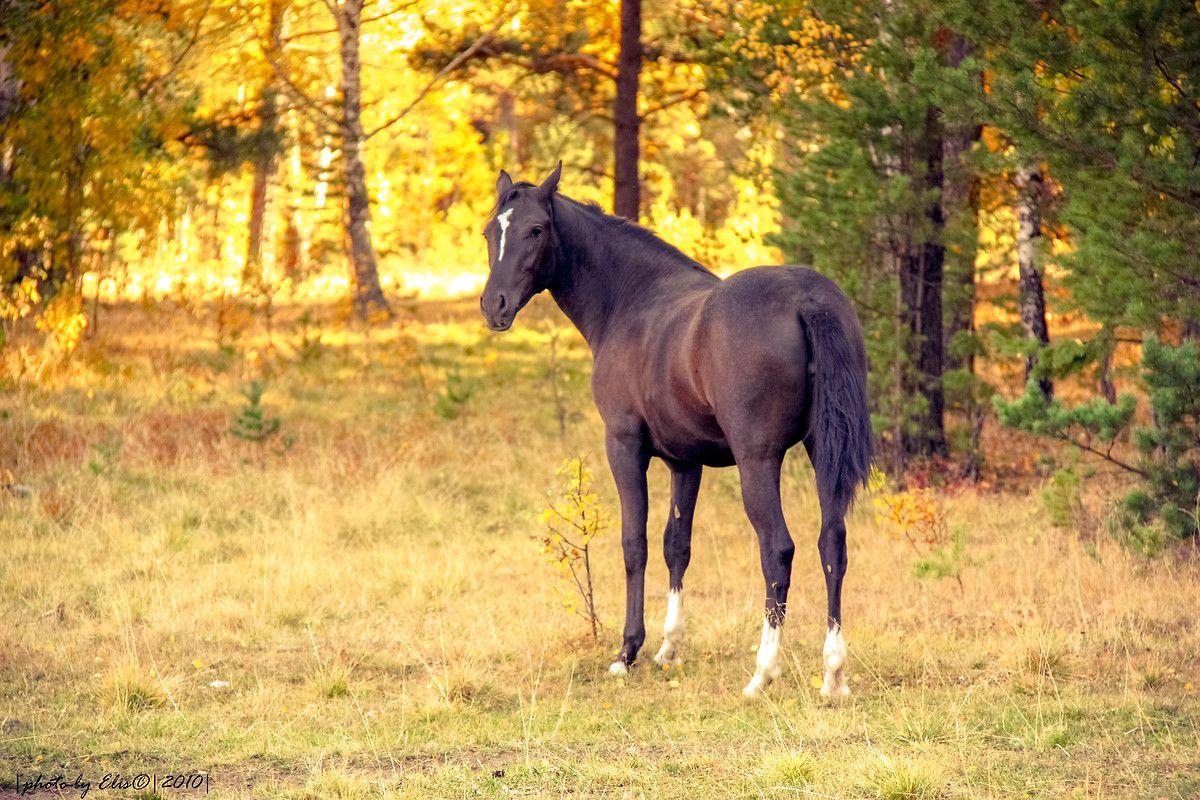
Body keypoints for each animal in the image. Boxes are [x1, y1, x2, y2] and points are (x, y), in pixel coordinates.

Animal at [479, 163, 873, 696]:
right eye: (489, 232)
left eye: (535, 230)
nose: (493, 306)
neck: (630, 301)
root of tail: (808, 299)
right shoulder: (686, 462)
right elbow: (676, 546)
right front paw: (668, 648)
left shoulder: (624, 446)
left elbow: (635, 544)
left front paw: (628, 652)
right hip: (821, 453)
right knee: (832, 543)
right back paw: (833, 672)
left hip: (758, 462)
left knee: (778, 549)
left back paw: (762, 671)